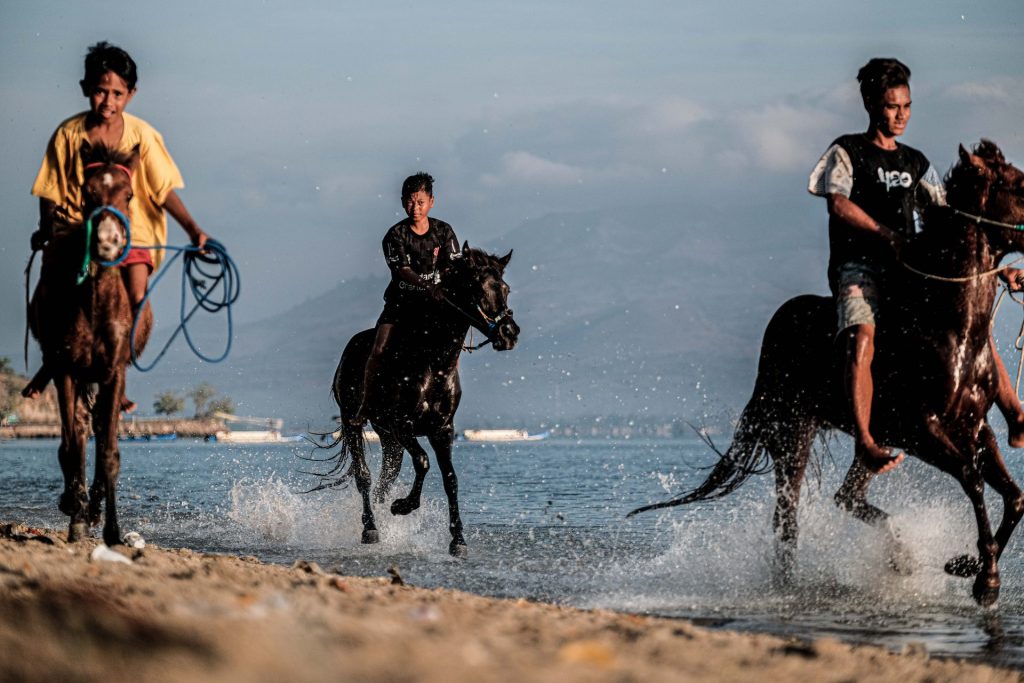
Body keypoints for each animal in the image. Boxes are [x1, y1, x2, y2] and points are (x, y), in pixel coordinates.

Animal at [27, 143, 153, 544]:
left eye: (128, 195)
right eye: (88, 193)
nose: (108, 242)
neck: (95, 303)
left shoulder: (113, 371)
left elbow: (109, 450)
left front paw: (112, 529)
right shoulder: (66, 369)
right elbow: (71, 444)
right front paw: (74, 511)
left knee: (98, 426)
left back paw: (94, 506)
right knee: (82, 427)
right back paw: (79, 505)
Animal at [309, 244, 520, 557]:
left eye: (505, 289)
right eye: (476, 288)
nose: (509, 334)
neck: (434, 362)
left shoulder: (442, 430)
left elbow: (450, 479)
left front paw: (458, 540)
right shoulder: (403, 425)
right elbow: (422, 462)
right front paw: (403, 506)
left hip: (388, 437)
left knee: (386, 479)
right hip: (353, 421)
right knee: (364, 476)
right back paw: (370, 528)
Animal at [626, 140, 1024, 610]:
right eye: (1019, 184)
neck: (946, 326)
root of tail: (778, 326)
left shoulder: (974, 428)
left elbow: (1013, 495)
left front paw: (968, 566)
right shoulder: (920, 429)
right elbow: (973, 480)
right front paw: (984, 578)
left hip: (872, 441)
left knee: (846, 496)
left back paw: (901, 556)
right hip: (794, 434)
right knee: (788, 520)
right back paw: (790, 586)